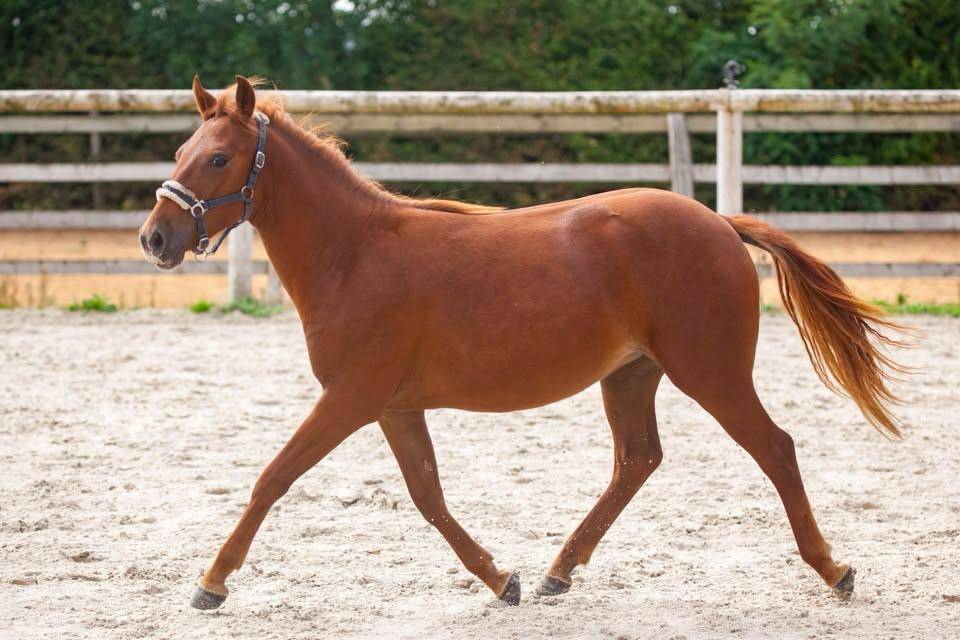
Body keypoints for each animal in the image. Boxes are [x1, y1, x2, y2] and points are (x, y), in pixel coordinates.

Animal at [139, 76, 905, 610]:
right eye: (180, 152)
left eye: (218, 158)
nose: (154, 239)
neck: (353, 254)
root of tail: (719, 223)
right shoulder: (393, 407)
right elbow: (428, 495)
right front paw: (500, 578)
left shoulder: (349, 399)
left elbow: (273, 478)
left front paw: (211, 583)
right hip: (632, 375)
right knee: (637, 461)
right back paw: (556, 574)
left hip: (710, 372)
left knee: (774, 448)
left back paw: (835, 570)